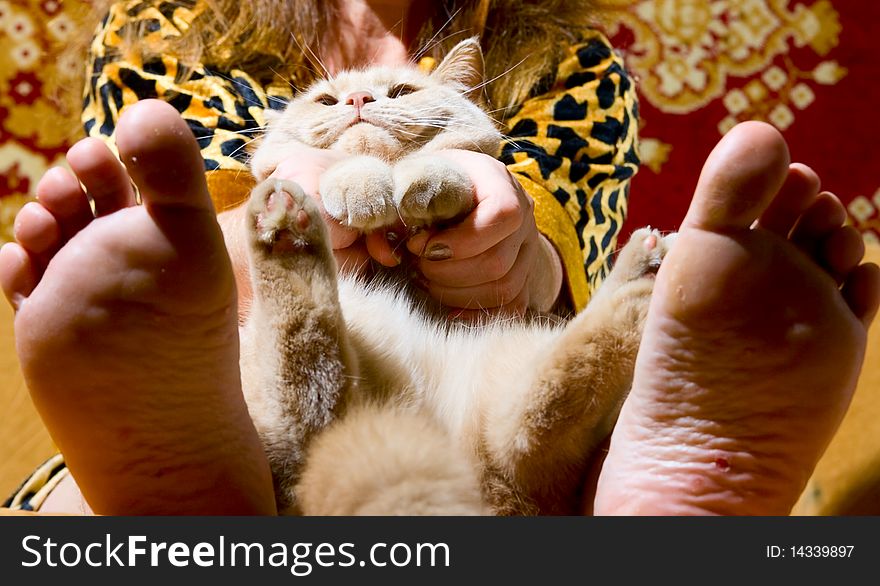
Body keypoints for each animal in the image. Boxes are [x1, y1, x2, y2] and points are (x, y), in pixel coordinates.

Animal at [241, 38, 672, 512]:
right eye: (326, 101)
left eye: (402, 91)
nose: (358, 100)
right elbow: (345, 165)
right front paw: (359, 185)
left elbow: (442, 167)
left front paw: (421, 185)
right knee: (308, 393)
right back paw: (284, 223)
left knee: (539, 416)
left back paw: (645, 273)